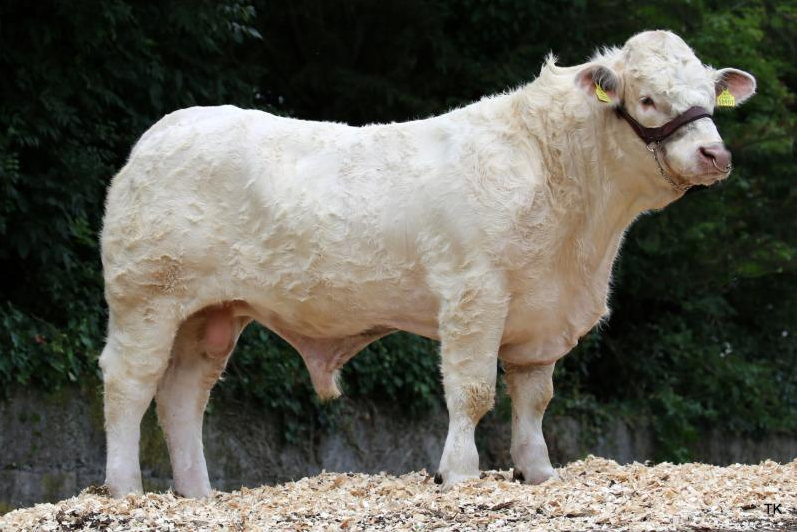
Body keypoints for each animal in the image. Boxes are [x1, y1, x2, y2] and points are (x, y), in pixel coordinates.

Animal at [99, 30, 756, 498]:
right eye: (647, 98)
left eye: (709, 98)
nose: (714, 154)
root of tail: (166, 129)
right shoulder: (474, 295)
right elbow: (472, 392)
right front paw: (459, 473)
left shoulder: (542, 317)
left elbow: (534, 400)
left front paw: (538, 471)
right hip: (146, 299)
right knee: (129, 384)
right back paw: (125, 490)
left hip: (211, 314)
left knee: (182, 397)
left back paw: (199, 495)